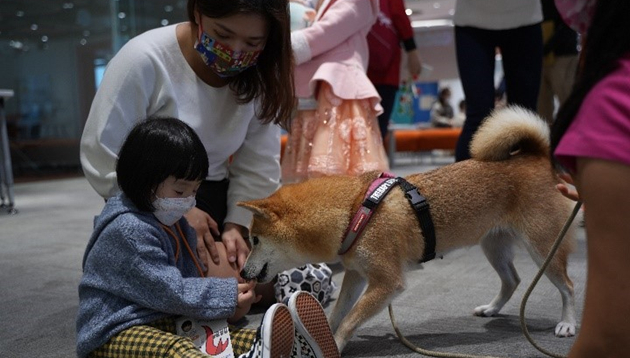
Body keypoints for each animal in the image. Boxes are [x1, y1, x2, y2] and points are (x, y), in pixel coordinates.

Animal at [239, 106, 580, 352]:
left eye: (254, 239)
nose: (241, 272)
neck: (355, 211)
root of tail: (537, 158)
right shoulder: (357, 276)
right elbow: (338, 314)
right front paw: (323, 334)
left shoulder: (388, 283)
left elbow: (350, 320)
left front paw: (334, 344)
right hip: (493, 246)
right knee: (512, 280)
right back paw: (491, 308)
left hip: (543, 248)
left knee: (567, 286)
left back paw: (567, 324)